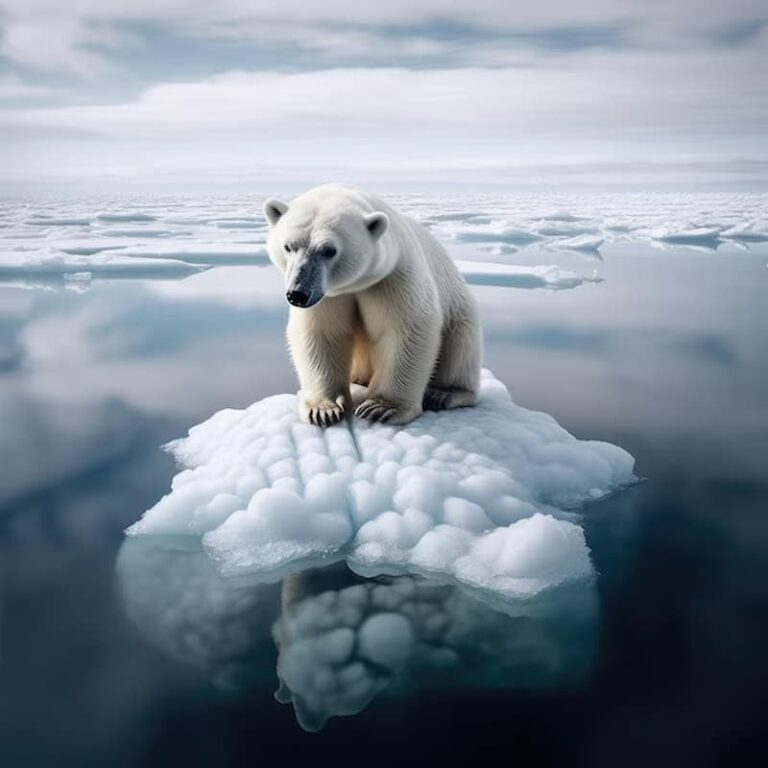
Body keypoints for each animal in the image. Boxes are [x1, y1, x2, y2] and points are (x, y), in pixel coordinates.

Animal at [263, 184, 482, 426]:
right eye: (288, 246)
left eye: (329, 250)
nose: (298, 294)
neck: (357, 283)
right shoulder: (328, 296)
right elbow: (322, 333)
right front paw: (323, 409)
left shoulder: (393, 277)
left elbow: (406, 330)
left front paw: (380, 407)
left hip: (460, 310)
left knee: (461, 347)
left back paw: (444, 393)